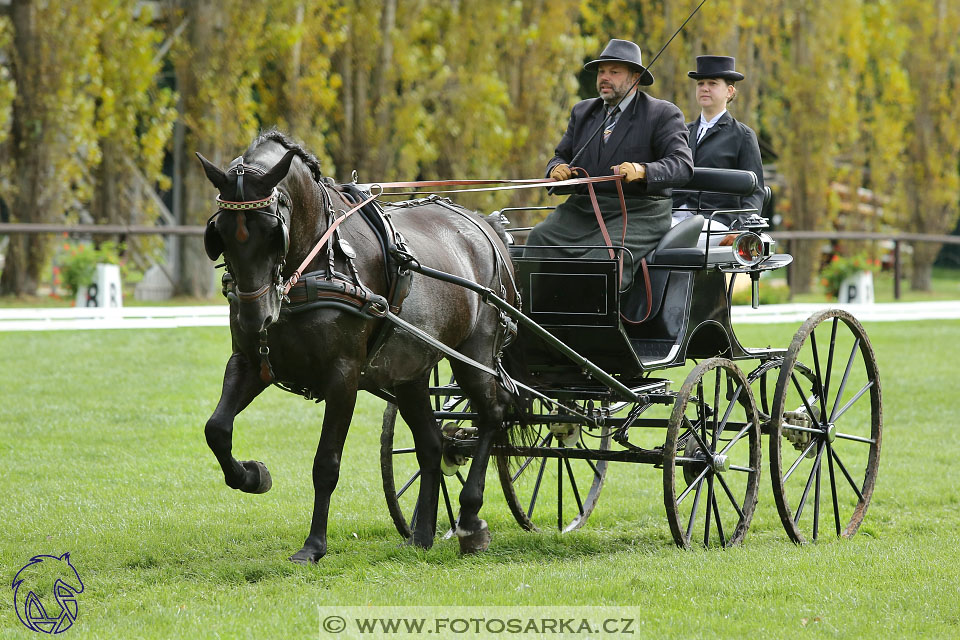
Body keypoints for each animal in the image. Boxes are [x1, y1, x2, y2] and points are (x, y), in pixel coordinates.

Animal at [197, 131, 516, 564]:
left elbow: (326, 463)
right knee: (433, 444)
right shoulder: (251, 362)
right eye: (222, 233)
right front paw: (251, 475)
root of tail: (485, 226)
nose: (255, 318)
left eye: (272, 232)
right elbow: (217, 429)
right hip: (410, 374)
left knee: (493, 414)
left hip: (475, 357)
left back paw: (469, 519)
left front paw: (313, 546)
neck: (315, 263)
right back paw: (421, 535)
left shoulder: (343, 376)